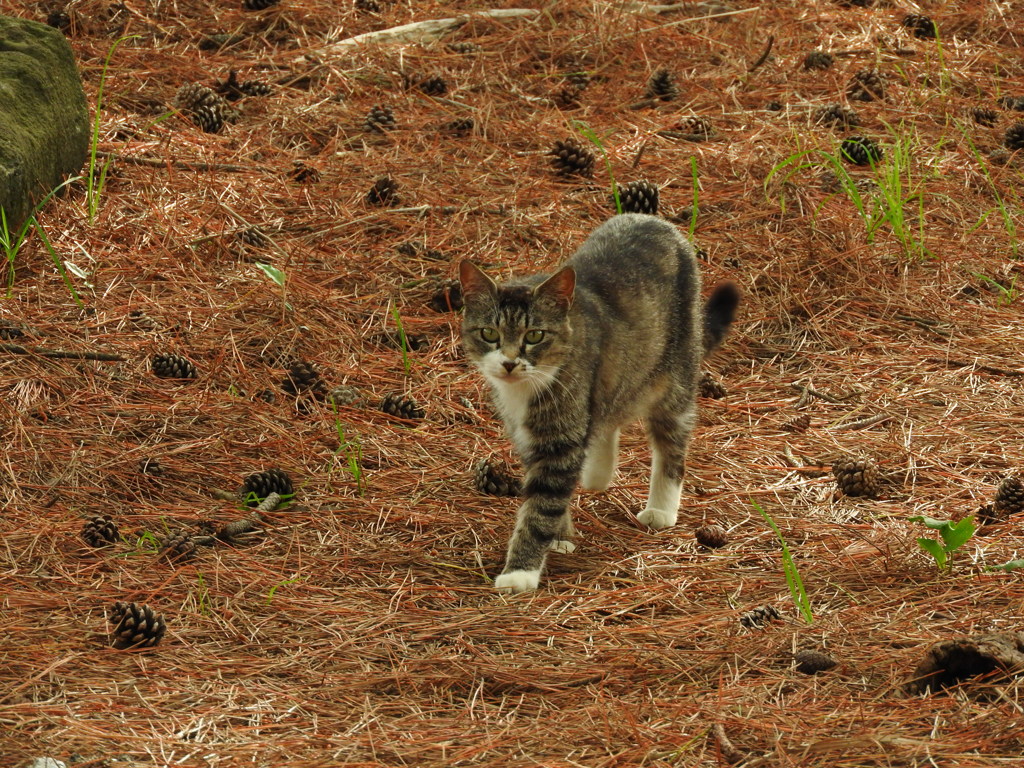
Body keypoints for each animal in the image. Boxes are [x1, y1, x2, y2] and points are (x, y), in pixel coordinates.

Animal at [460, 214, 741, 598]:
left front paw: (521, 571)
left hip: (677, 375)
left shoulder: (560, 438)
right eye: (489, 333)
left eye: (535, 335)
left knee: (671, 443)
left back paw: (661, 507)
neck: (524, 390)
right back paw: (597, 473)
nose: (509, 363)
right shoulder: (530, 437)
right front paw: (560, 537)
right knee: (607, 416)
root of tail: (655, 220)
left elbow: (541, 507)